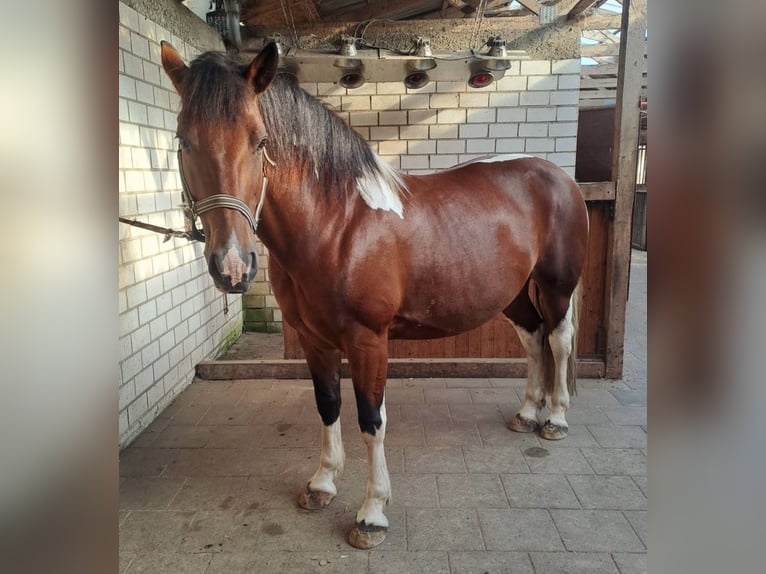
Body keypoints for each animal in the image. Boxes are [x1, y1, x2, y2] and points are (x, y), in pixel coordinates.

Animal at [160, 41, 589, 549]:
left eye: (260, 141)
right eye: (183, 141)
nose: (232, 267)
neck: (338, 223)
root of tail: (556, 174)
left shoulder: (368, 341)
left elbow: (371, 420)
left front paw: (372, 514)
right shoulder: (315, 339)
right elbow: (328, 406)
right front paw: (322, 484)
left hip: (557, 286)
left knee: (558, 341)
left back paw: (555, 419)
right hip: (514, 294)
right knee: (533, 339)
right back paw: (527, 413)